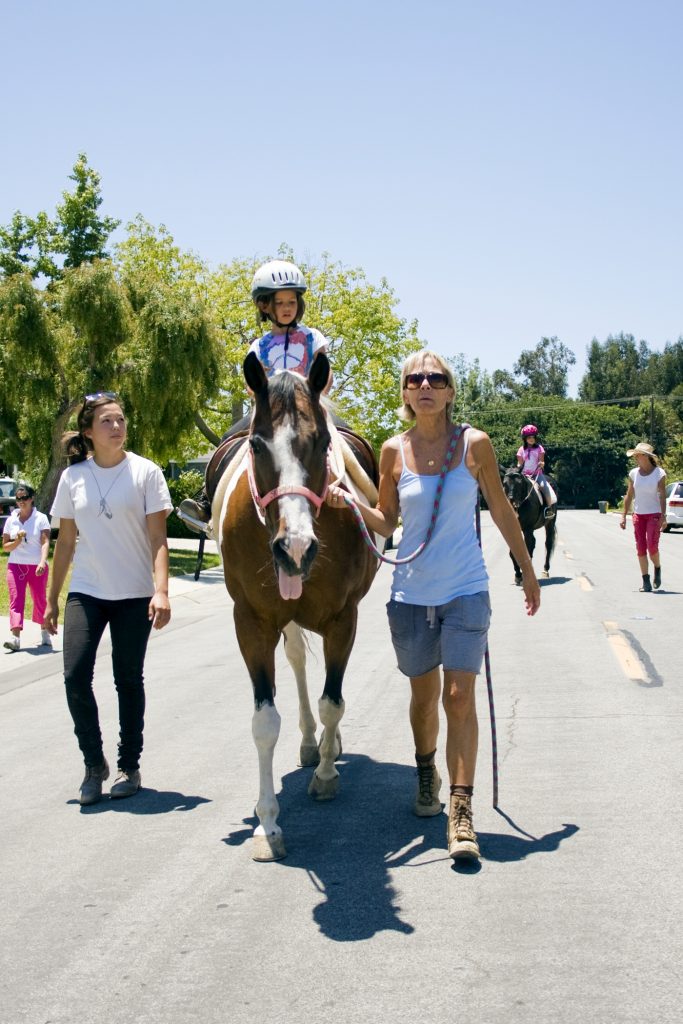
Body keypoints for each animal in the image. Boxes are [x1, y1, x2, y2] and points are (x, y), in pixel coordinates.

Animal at [218, 352, 378, 856]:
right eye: (255, 444)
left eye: (322, 441)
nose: (295, 548)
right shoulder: (251, 622)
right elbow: (265, 721)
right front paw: (267, 823)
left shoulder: (343, 618)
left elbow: (333, 702)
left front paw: (326, 776)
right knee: (297, 663)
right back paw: (311, 743)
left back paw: (325, 748)